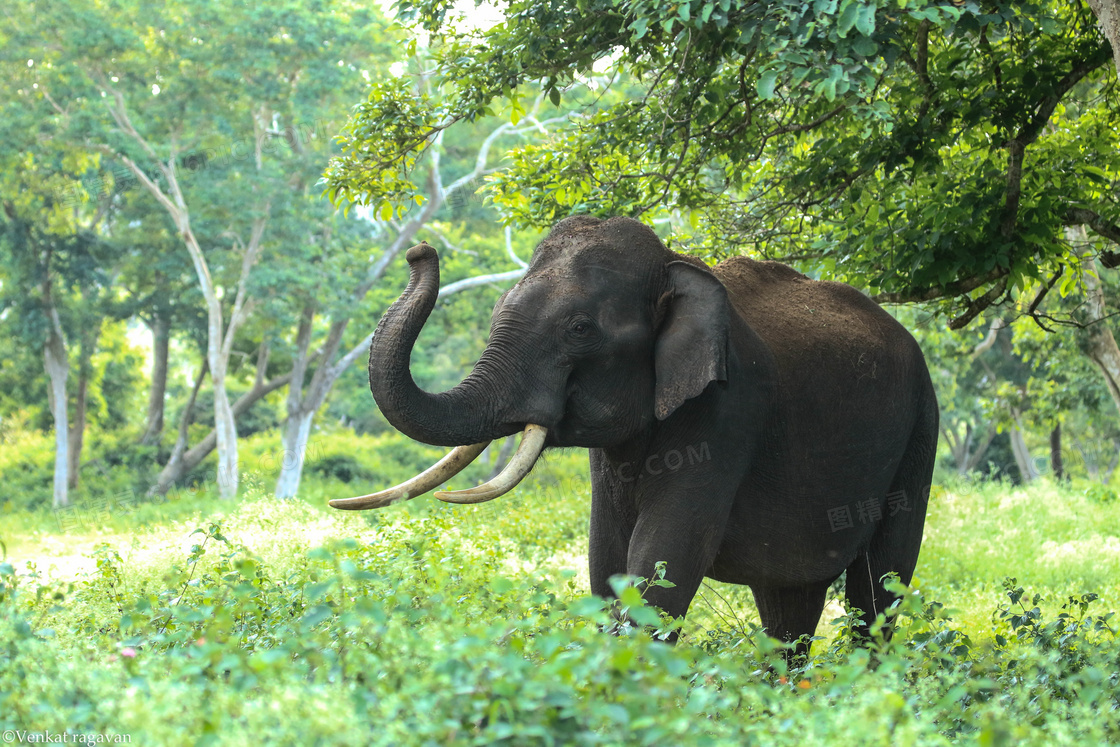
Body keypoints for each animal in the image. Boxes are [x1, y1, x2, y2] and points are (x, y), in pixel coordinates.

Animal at [331, 212, 936, 649]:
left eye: (579, 329)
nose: (419, 251)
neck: (675, 264)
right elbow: (607, 561)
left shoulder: (728, 413)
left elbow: (663, 561)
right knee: (789, 606)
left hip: (920, 430)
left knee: (878, 590)